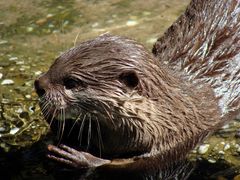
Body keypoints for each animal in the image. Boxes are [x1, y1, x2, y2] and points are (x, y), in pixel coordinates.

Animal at [33, 0, 240, 179]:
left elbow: (132, 166)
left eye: (71, 82)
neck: (171, 115)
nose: (38, 84)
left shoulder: (174, 142)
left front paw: (82, 159)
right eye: (56, 61)